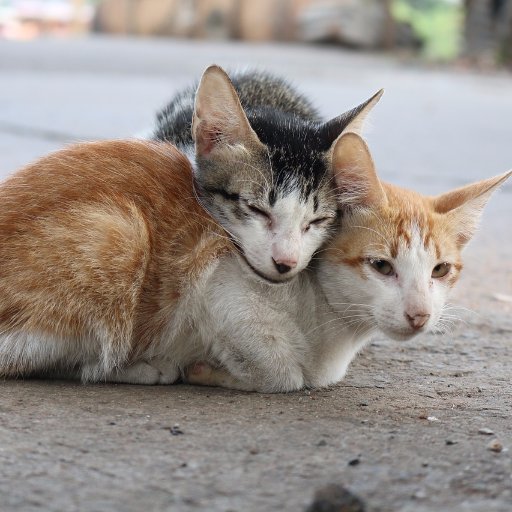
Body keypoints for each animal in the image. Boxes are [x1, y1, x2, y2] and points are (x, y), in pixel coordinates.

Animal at [0, 137, 508, 392]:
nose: (420, 314)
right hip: (118, 232)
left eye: (440, 270)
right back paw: (137, 366)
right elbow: (285, 375)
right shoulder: (217, 283)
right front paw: (215, 371)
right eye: (382, 266)